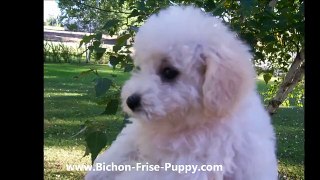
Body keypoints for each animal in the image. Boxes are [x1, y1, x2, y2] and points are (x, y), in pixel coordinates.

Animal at [85, 4, 278, 179]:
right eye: (139, 68)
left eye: (169, 72)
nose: (131, 101)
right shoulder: (138, 133)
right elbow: (122, 147)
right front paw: (97, 172)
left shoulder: (187, 167)